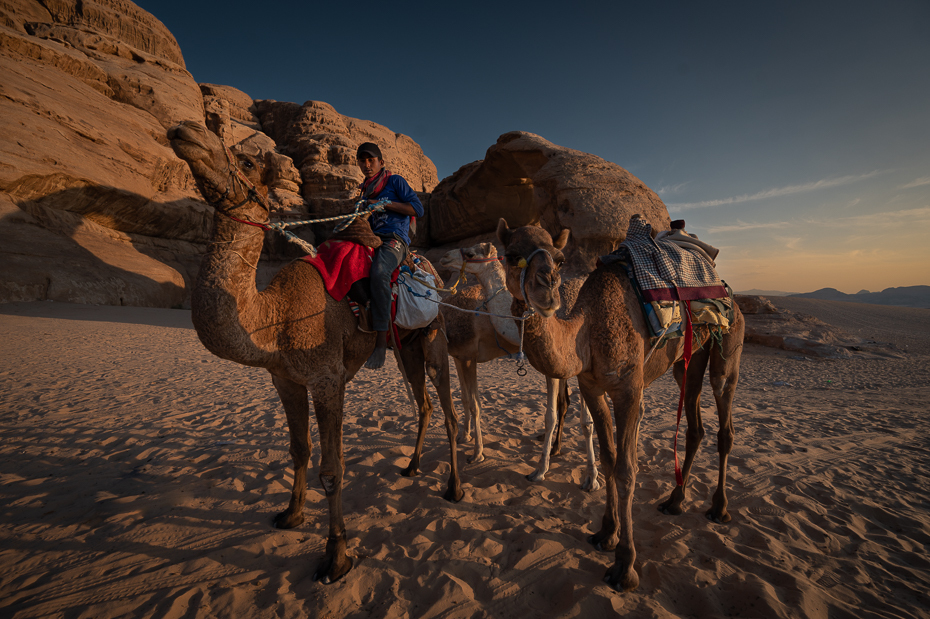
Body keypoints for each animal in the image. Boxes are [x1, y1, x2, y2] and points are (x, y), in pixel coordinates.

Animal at [168, 120, 464, 588]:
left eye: (246, 161)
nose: (186, 129)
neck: (276, 315)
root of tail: (431, 272)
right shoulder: (285, 379)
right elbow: (298, 449)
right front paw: (291, 514)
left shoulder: (327, 378)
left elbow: (332, 469)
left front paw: (336, 556)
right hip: (406, 348)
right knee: (424, 403)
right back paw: (412, 466)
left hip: (434, 337)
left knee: (449, 411)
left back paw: (453, 488)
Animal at [436, 242, 600, 490]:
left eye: (471, 253)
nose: (444, 257)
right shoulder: (462, 356)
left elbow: (581, 420)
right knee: (566, 403)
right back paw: (555, 447)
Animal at [496, 218, 744, 592]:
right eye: (512, 255)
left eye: (559, 259)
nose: (547, 289)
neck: (587, 329)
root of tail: (726, 286)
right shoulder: (592, 388)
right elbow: (609, 460)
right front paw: (605, 533)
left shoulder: (629, 390)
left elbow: (627, 470)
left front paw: (625, 566)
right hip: (688, 362)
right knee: (695, 425)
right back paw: (674, 502)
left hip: (729, 347)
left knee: (724, 423)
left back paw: (719, 508)